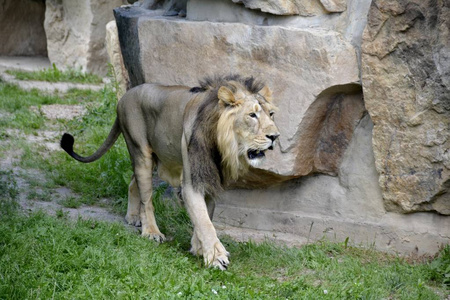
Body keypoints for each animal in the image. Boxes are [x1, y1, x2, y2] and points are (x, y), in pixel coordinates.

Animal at [59, 74, 278, 270]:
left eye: (271, 114)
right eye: (252, 115)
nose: (275, 136)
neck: (223, 145)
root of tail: (124, 96)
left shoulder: (209, 180)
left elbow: (204, 216)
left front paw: (198, 248)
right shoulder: (192, 181)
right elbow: (205, 223)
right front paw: (216, 257)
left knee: (132, 182)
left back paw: (133, 216)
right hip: (141, 152)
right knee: (146, 199)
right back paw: (151, 232)